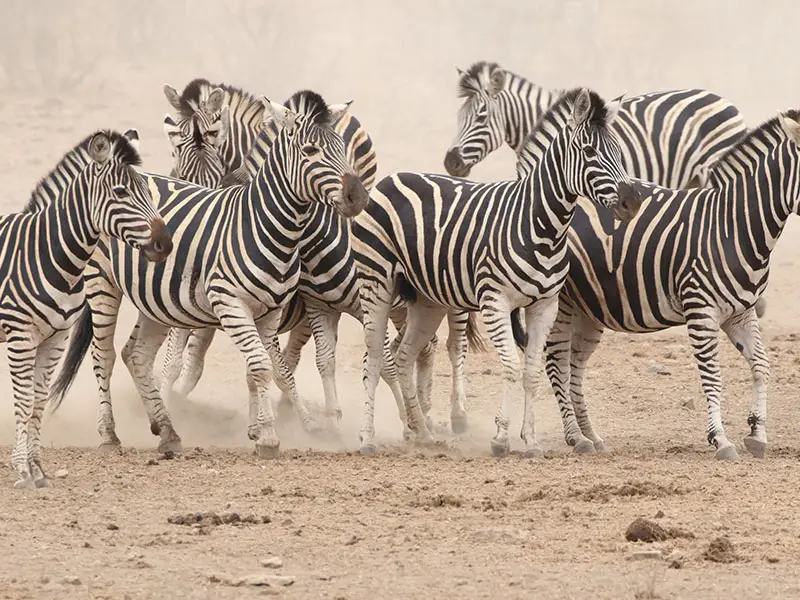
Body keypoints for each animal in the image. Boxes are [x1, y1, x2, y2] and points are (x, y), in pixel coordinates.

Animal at [1, 129, 172, 488]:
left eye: (146, 190)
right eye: (121, 192)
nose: (165, 244)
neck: (46, 252)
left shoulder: (56, 336)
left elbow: (38, 400)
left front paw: (38, 471)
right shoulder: (21, 335)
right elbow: (23, 401)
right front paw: (22, 471)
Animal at [49, 91, 370, 459]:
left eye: (342, 148)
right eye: (311, 150)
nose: (359, 197)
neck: (268, 228)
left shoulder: (270, 312)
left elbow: (262, 369)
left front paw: (263, 432)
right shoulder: (230, 303)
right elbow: (263, 367)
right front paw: (270, 438)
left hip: (155, 299)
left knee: (137, 355)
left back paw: (167, 430)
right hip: (102, 283)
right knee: (105, 355)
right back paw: (109, 434)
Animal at [352, 88, 637, 457]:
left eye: (618, 150)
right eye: (590, 152)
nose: (632, 202)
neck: (542, 225)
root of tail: (392, 177)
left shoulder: (545, 306)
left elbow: (531, 372)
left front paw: (530, 441)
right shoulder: (495, 301)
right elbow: (512, 367)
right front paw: (501, 437)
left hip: (429, 301)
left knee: (403, 357)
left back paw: (423, 434)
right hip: (376, 283)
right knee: (374, 358)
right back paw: (367, 438)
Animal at [545, 108, 800, 461]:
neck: (734, 227)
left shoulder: (741, 311)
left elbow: (761, 365)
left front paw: (757, 434)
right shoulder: (700, 310)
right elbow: (713, 376)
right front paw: (720, 440)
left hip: (590, 307)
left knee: (575, 365)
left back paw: (591, 436)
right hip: (561, 302)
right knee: (556, 362)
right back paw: (574, 437)